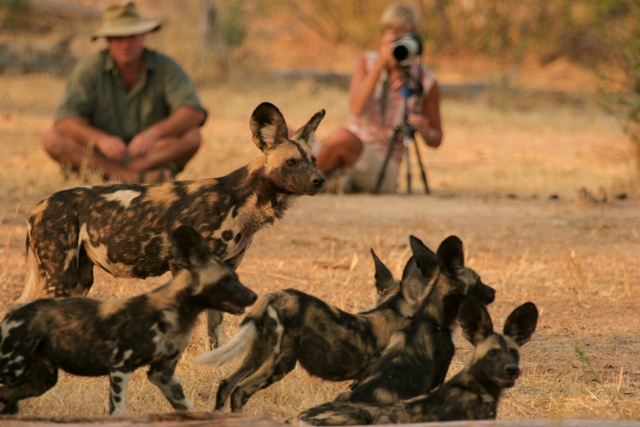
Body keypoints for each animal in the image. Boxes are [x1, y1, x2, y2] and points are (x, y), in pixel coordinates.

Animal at [0, 226, 260, 416]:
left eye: (235, 277)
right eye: (226, 280)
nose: (254, 296)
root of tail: (15, 312)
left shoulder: (164, 375)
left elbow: (189, 409)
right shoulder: (120, 368)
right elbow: (118, 413)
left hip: (41, 379)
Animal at [18, 103, 324, 348]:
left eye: (314, 160)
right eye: (292, 162)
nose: (320, 180)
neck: (241, 201)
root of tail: (39, 206)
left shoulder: (224, 271)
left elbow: (216, 328)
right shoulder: (186, 268)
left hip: (80, 280)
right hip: (61, 279)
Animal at [192, 239, 438, 412]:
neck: (392, 308)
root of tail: (276, 295)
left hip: (257, 356)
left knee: (226, 384)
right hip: (280, 364)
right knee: (240, 391)